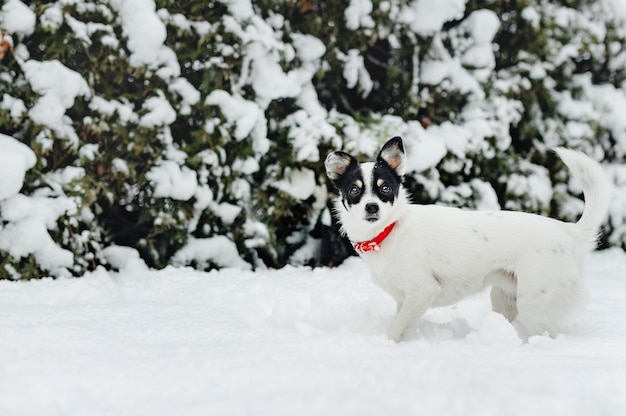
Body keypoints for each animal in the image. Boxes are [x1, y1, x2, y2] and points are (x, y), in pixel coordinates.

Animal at [326, 136, 608, 342]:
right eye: (354, 190)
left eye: (385, 188)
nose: (372, 207)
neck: (390, 231)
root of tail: (569, 231)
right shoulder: (405, 298)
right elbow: (402, 322)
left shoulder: (422, 291)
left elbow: (396, 328)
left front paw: (387, 344)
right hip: (505, 298)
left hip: (535, 304)